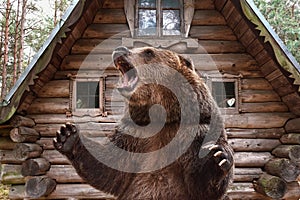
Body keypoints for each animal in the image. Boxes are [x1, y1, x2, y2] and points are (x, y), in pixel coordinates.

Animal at [54, 46, 233, 198]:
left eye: (148, 52)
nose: (119, 50)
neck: (162, 116)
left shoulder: (198, 131)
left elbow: (200, 184)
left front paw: (216, 158)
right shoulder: (133, 135)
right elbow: (109, 165)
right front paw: (67, 135)